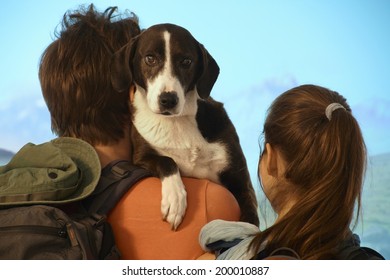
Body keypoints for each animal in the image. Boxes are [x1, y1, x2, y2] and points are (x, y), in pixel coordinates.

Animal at [111, 23, 258, 230]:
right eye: (150, 58)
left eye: (186, 61)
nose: (168, 99)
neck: (178, 121)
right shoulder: (140, 158)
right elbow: (167, 160)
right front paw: (175, 199)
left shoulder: (241, 182)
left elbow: (250, 221)